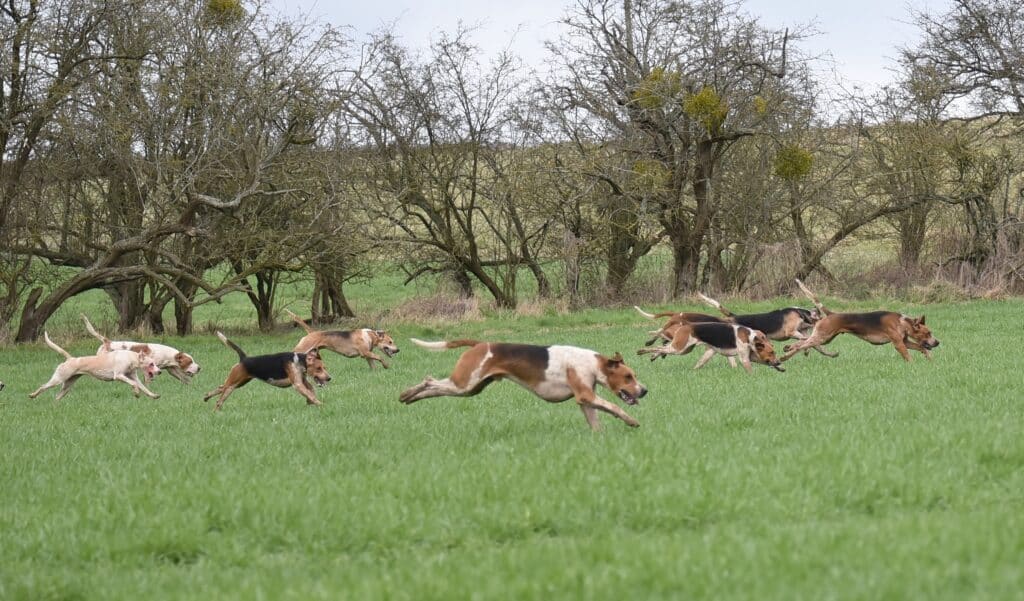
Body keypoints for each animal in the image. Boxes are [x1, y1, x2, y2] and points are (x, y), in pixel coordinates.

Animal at [28, 331, 161, 401]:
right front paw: (136, 393)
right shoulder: (118, 376)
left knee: (57, 397)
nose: (160, 372)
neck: (131, 358)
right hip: (58, 379)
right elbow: (134, 384)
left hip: (67, 386)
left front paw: (153, 395)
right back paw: (33, 395)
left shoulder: (133, 377)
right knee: (43, 386)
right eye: (151, 364)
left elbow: (143, 387)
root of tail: (70, 358)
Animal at [198, 331, 327, 411]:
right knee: (219, 401)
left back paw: (206, 397)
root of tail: (244, 358)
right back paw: (214, 411)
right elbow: (310, 394)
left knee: (219, 388)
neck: (299, 360)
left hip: (238, 383)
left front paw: (311, 403)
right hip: (232, 385)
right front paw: (320, 404)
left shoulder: (303, 382)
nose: (329, 378)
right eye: (319, 368)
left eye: (325, 367)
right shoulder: (298, 384)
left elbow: (311, 391)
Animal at [395, 337, 643, 432]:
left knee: (433, 386)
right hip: (464, 385)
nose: (645, 391)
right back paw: (408, 393)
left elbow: (596, 422)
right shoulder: (586, 396)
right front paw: (631, 421)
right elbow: (615, 407)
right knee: (429, 381)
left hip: (471, 388)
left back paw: (409, 396)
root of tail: (479, 344)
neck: (593, 364)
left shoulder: (586, 401)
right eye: (628, 377)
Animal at [638, 321, 782, 374]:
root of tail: (684, 326)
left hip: (683, 349)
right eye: (771, 352)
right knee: (658, 347)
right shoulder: (745, 359)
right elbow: (751, 371)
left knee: (662, 347)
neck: (750, 337)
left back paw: (653, 356)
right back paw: (642, 351)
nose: (778, 361)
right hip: (679, 348)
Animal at [782, 280, 942, 362]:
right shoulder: (899, 344)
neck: (902, 322)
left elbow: (921, 348)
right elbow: (908, 356)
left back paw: (788, 348)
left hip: (825, 338)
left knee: (802, 343)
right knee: (802, 345)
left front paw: (930, 360)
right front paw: (913, 365)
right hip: (822, 337)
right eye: (928, 333)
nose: (937, 342)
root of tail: (831, 314)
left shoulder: (906, 342)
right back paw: (786, 356)